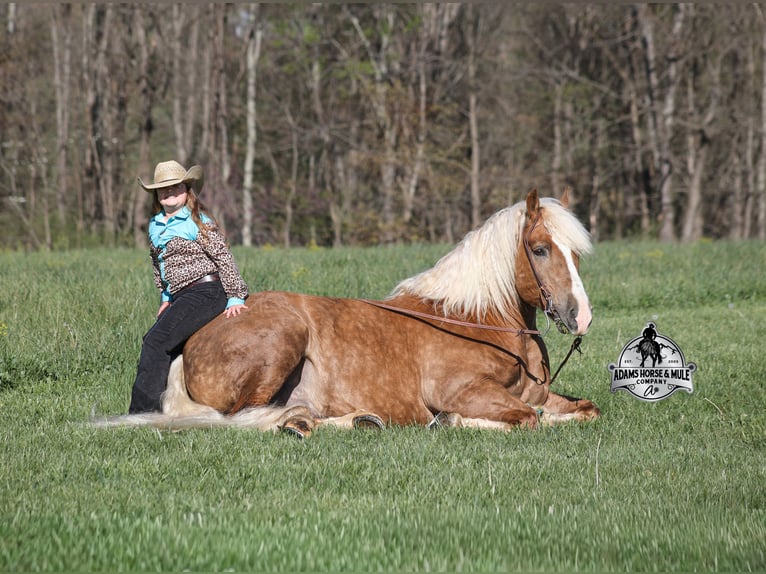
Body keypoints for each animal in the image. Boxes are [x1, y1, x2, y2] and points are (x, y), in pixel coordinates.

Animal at [96, 189, 600, 436]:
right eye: (540, 249)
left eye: (576, 253)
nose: (581, 317)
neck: (474, 321)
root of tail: (198, 335)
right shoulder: (464, 391)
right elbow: (526, 419)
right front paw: (452, 422)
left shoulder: (539, 394)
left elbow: (584, 409)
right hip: (280, 345)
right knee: (243, 417)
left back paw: (350, 421)